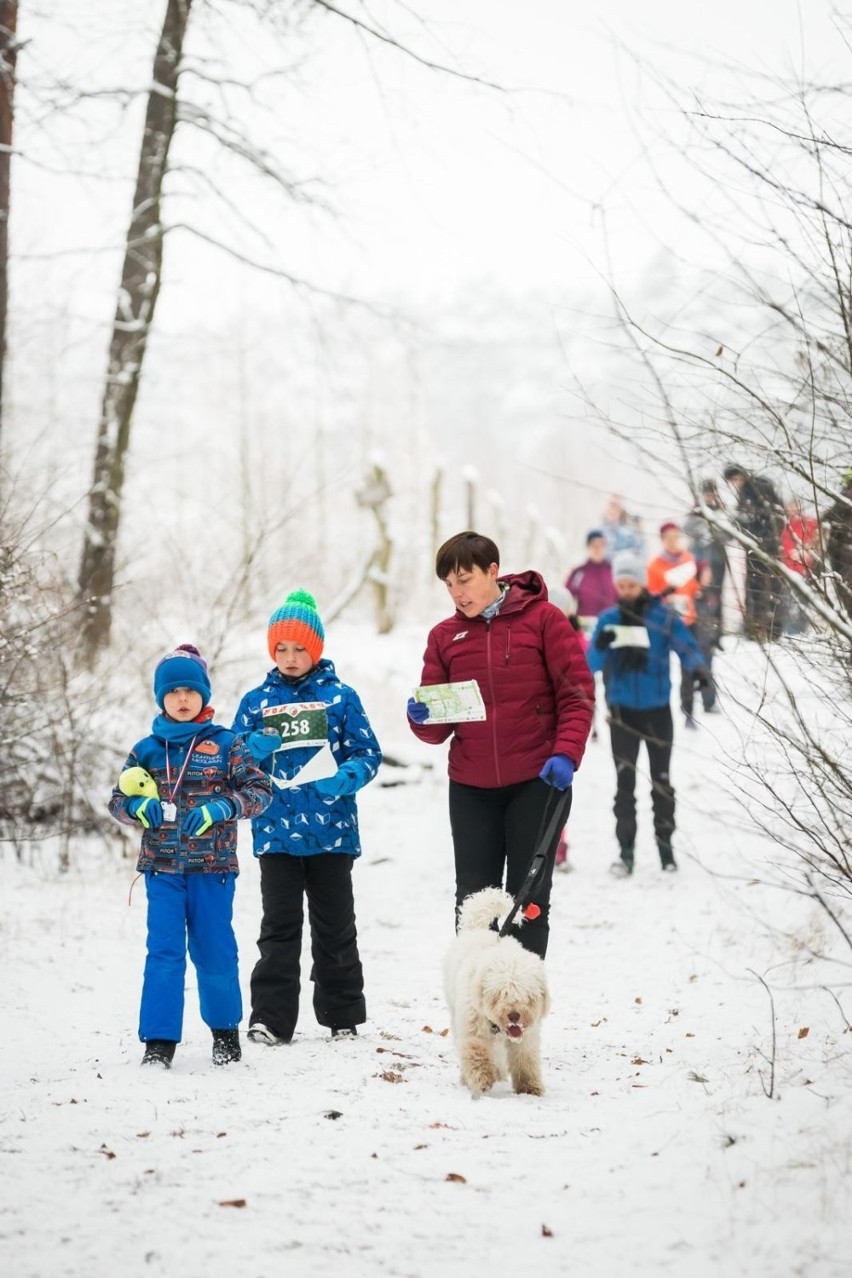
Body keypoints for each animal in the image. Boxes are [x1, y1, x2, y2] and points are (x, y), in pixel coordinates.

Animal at [444, 889, 549, 1099]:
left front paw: (530, 1087)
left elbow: (526, 1059)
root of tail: (477, 929)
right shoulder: (473, 1030)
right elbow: (477, 1053)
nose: (514, 1015)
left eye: (528, 996)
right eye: (501, 994)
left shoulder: (526, 1037)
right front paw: (482, 1080)